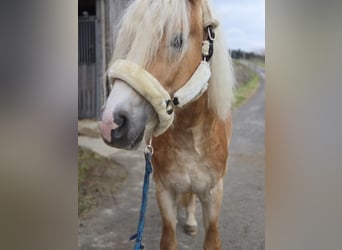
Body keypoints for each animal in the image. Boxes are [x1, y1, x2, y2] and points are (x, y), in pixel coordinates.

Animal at [97, 0, 234, 250]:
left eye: (177, 41)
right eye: (130, 38)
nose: (111, 122)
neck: (190, 137)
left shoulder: (213, 195)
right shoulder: (165, 192)